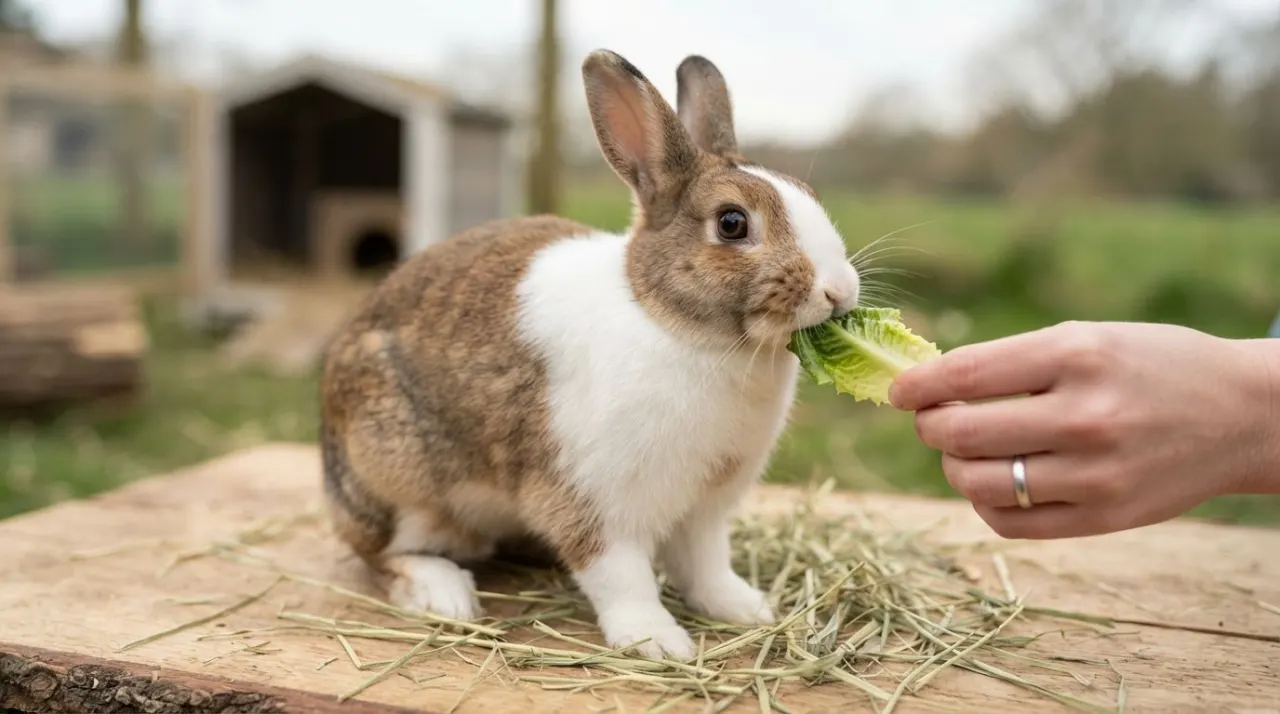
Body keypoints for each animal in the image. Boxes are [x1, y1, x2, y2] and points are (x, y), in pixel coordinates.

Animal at [319, 49, 861, 660]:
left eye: (808, 195)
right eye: (732, 222)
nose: (839, 290)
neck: (678, 329)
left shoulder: (705, 508)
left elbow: (705, 565)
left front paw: (746, 608)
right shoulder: (594, 503)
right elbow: (620, 575)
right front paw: (658, 643)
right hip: (398, 479)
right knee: (382, 553)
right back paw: (445, 593)